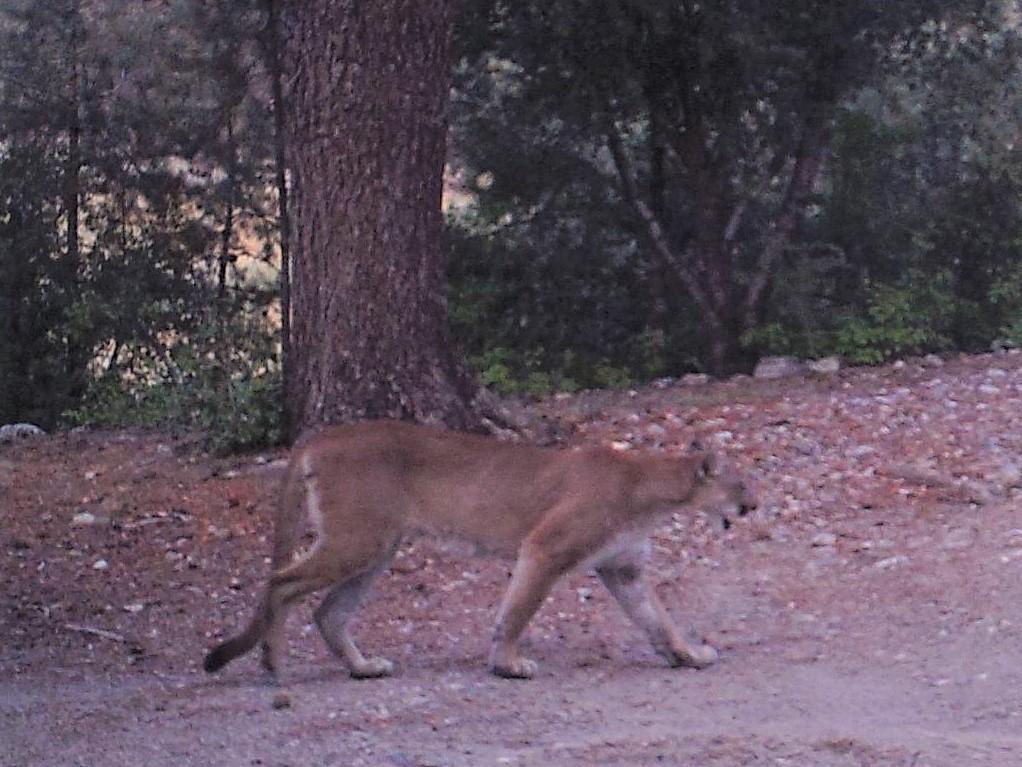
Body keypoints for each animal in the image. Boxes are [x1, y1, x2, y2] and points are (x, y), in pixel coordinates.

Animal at [203, 423, 756, 683]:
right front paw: (508, 664)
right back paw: (273, 666)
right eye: (741, 483)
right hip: (355, 541)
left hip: (375, 547)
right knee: (282, 583)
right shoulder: (545, 547)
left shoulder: (624, 569)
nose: (754, 505)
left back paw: (363, 668)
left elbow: (658, 620)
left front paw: (688, 655)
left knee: (328, 612)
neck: (650, 490)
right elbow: (517, 611)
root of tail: (322, 434)